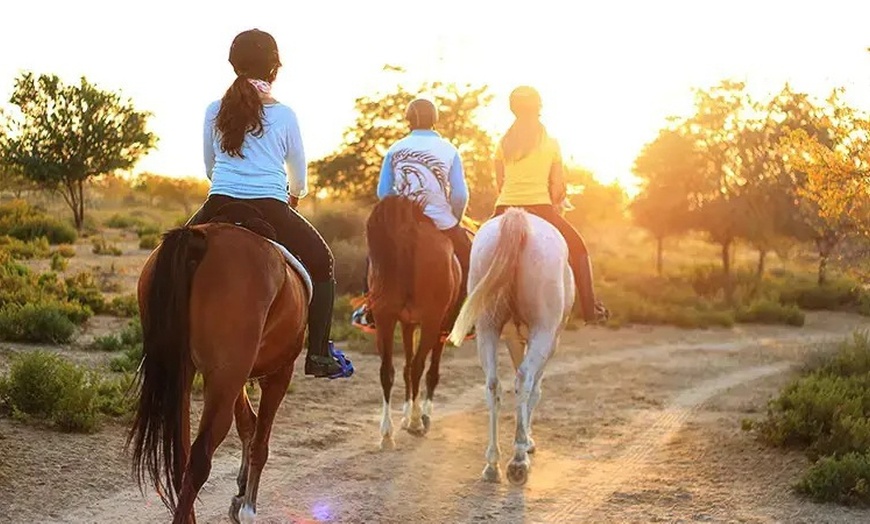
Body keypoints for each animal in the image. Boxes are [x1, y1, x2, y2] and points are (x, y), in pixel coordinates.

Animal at [127, 220, 310, 524]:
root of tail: (199, 237)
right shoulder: (278, 373)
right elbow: (260, 441)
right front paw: (247, 508)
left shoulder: (235, 375)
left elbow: (248, 424)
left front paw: (240, 495)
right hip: (225, 378)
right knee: (200, 458)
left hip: (189, 375)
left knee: (182, 454)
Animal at [364, 194, 466, 448]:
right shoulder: (439, 325)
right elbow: (429, 371)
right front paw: (420, 415)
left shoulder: (407, 323)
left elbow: (406, 366)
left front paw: (406, 413)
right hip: (431, 321)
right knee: (420, 366)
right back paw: (417, 422)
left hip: (384, 318)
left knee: (387, 370)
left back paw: (387, 433)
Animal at [446, 207, 576, 486]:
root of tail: (518, 218)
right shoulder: (550, 341)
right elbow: (535, 389)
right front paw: (527, 441)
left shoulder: (513, 338)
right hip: (543, 331)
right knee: (525, 380)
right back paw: (518, 461)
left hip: (487, 328)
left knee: (493, 385)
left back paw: (492, 464)